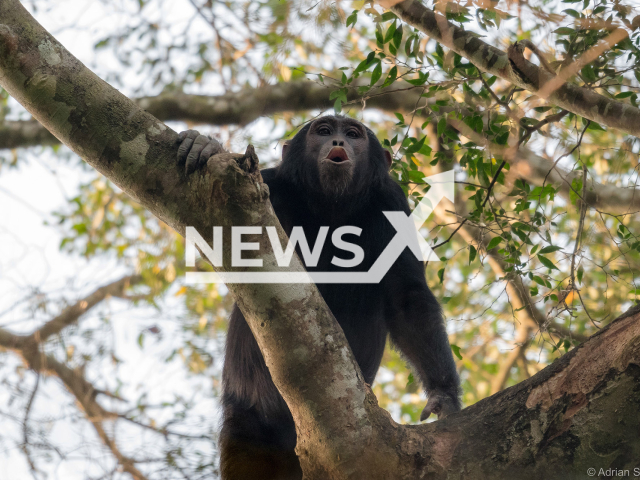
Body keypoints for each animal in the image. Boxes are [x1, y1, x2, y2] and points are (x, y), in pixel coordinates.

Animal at [176, 116, 460, 480]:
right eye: (323, 131)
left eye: (352, 134)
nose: (338, 140)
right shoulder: (267, 184)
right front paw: (205, 144)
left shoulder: (393, 203)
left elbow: (406, 296)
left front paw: (444, 395)